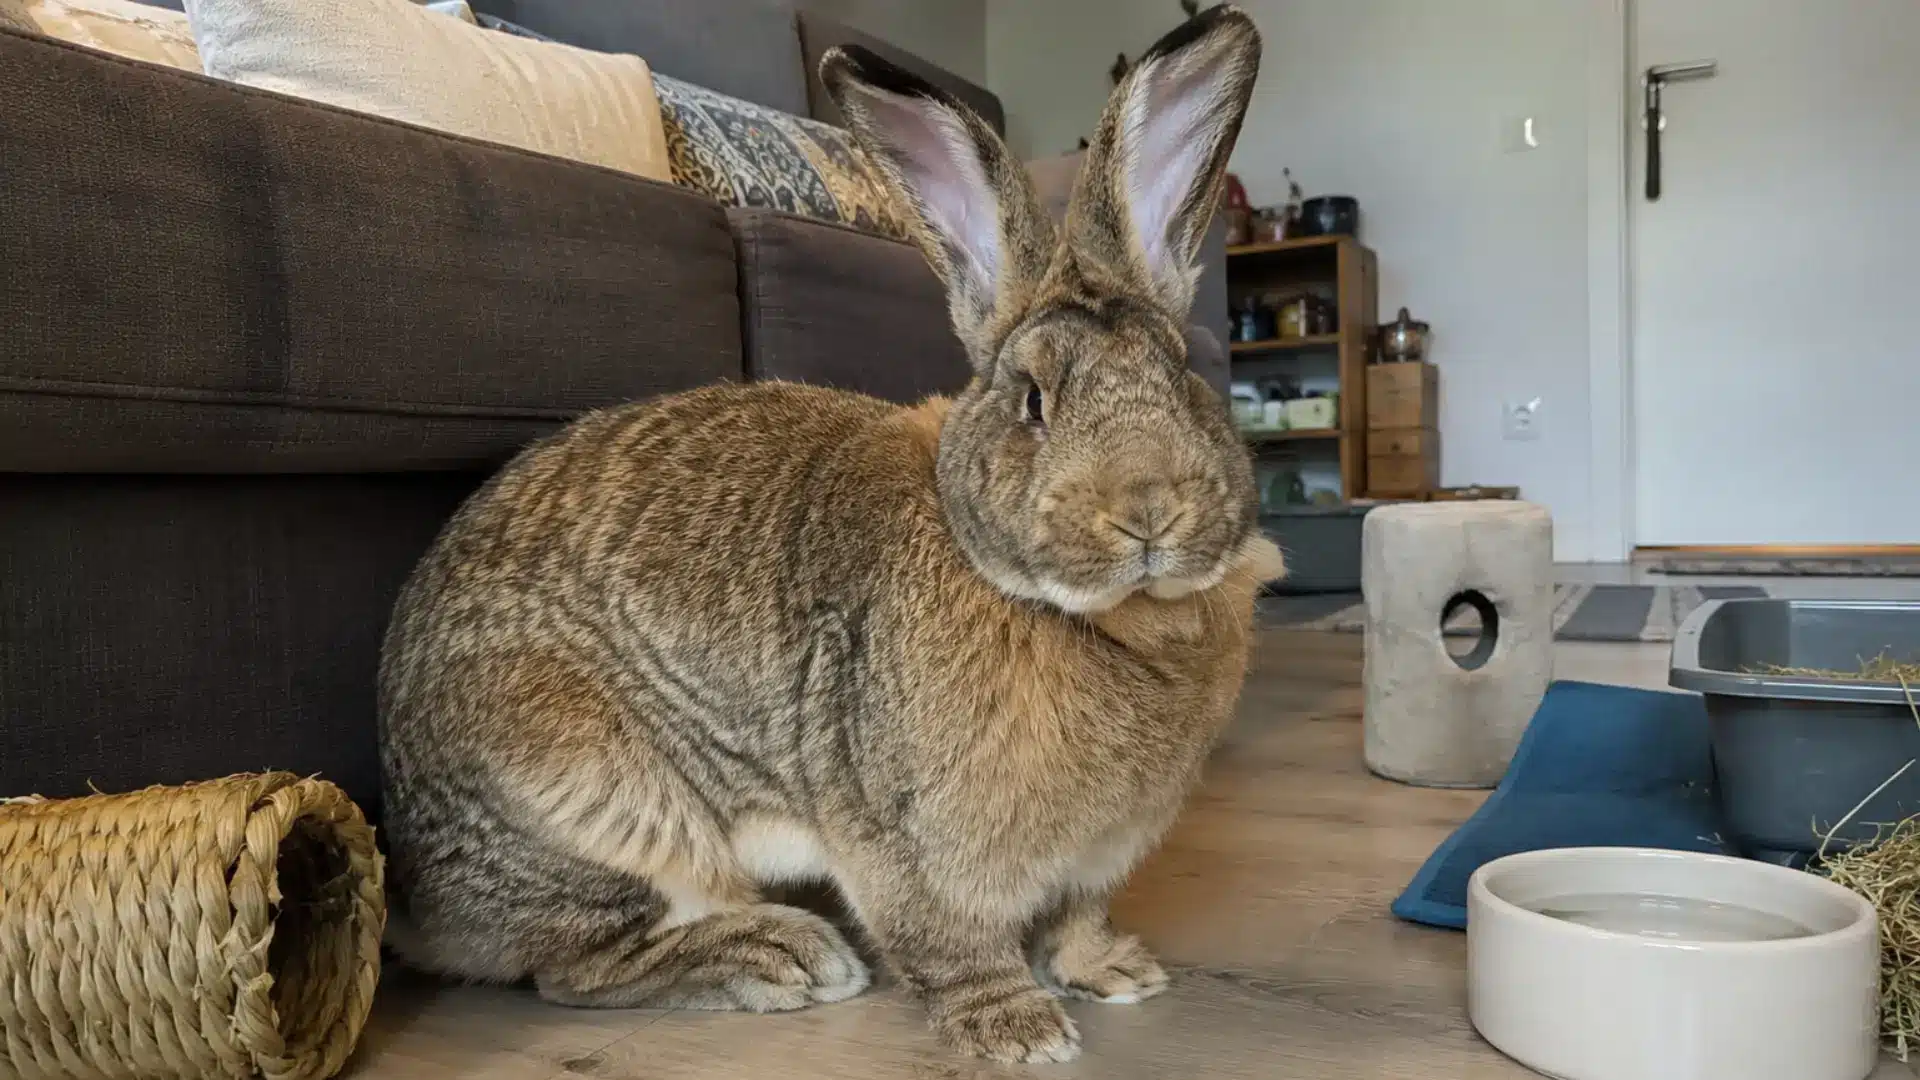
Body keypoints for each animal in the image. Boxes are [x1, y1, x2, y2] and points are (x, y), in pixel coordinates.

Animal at [376, 5, 1273, 1064]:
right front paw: (1018, 1032)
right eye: (1032, 402)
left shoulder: (1097, 856)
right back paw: (784, 958)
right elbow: (951, 943)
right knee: (577, 969)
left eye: (1185, 376)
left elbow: (1076, 920)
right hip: (591, 802)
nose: (1148, 511)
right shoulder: (908, 846)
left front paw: (1116, 973)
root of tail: (415, 889)